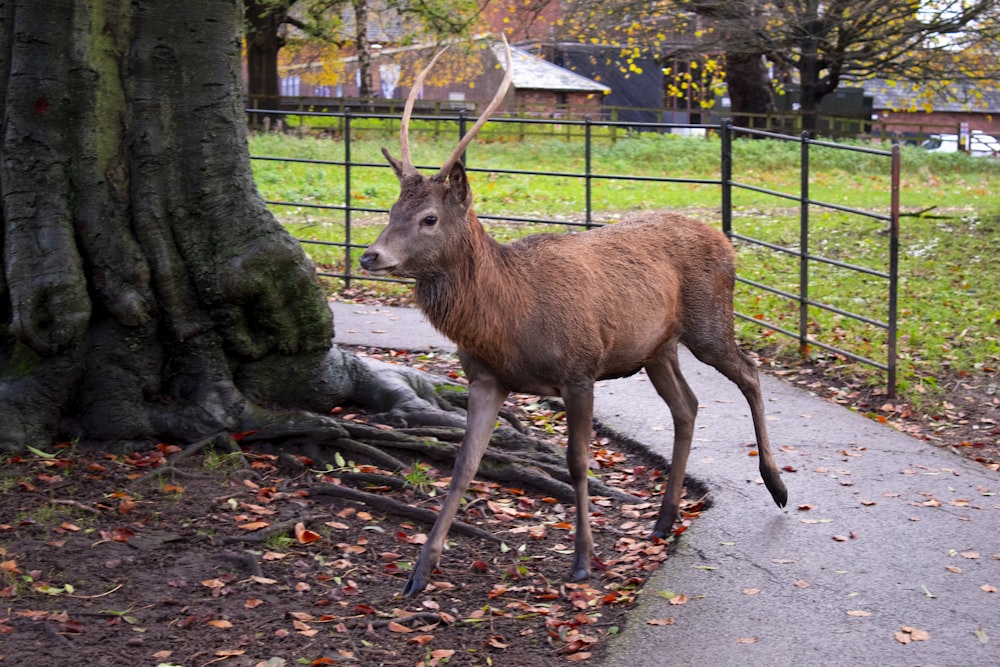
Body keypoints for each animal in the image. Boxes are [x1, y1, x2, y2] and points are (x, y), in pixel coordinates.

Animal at [360, 39, 788, 596]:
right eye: (391, 211)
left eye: (429, 218)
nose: (370, 255)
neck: (508, 322)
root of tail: (727, 242)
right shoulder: (485, 378)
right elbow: (463, 464)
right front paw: (420, 571)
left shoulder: (580, 368)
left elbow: (577, 463)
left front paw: (583, 560)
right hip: (657, 348)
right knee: (688, 406)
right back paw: (664, 517)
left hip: (709, 321)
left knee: (751, 374)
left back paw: (778, 487)